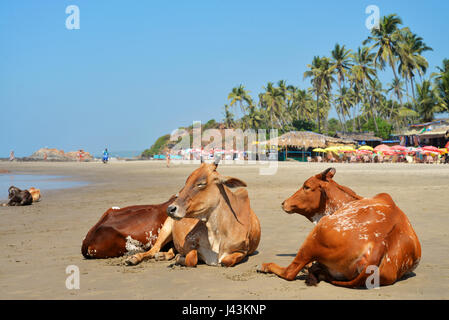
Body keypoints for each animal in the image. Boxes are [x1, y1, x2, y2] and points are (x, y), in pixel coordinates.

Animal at [124, 158, 260, 268]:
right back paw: (134, 258)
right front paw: (180, 258)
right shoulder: (189, 242)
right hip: (166, 228)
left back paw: (162, 255)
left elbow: (226, 261)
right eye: (186, 182)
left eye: (201, 183)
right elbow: (192, 258)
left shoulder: (243, 252)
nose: (171, 209)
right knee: (154, 249)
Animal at [260, 169, 420, 288]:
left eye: (306, 186)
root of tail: (381, 243)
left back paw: (266, 266)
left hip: (315, 234)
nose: (284, 203)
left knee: (290, 272)